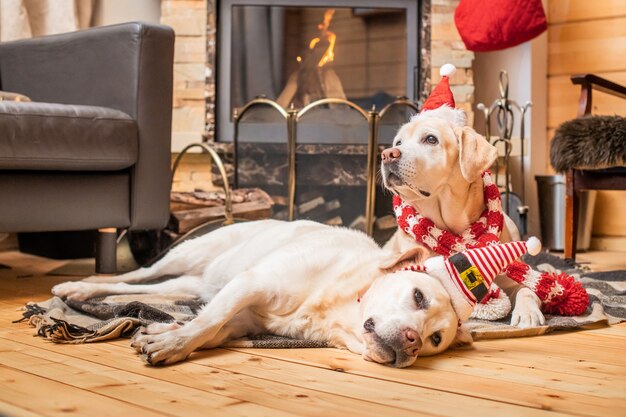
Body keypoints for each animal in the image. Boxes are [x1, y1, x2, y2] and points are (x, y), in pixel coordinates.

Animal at [53, 219, 470, 366]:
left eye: (435, 339)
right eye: (418, 296)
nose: (413, 341)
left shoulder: (241, 319)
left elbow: (209, 327)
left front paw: (163, 332)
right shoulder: (250, 283)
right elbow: (206, 324)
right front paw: (173, 344)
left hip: (194, 282)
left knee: (140, 286)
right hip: (189, 254)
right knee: (138, 274)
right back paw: (76, 286)